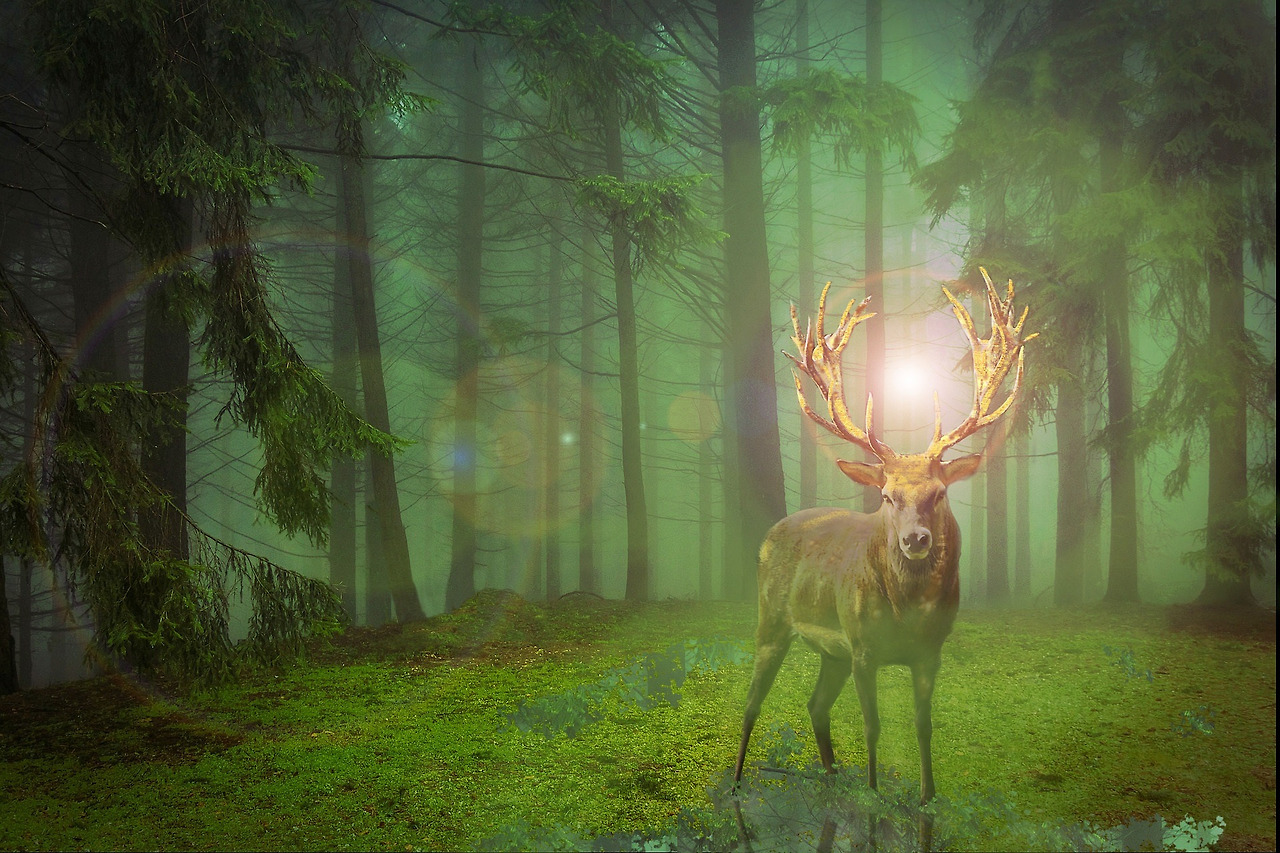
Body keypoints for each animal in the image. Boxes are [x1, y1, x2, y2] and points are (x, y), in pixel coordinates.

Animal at [732, 268, 1035, 805]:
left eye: (940, 493)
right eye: (888, 496)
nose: (915, 540)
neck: (906, 612)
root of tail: (772, 532)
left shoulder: (930, 652)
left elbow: (923, 726)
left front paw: (927, 798)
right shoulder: (863, 648)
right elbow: (872, 728)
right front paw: (873, 797)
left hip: (830, 651)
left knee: (815, 705)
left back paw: (831, 779)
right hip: (773, 619)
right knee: (751, 704)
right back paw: (736, 783)